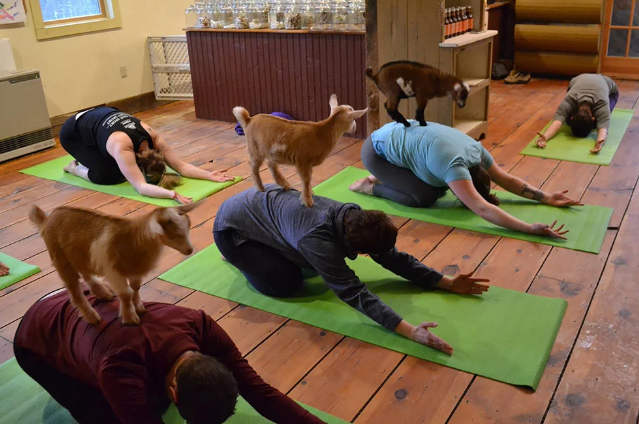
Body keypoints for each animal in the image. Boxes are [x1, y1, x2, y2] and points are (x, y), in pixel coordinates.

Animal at [28, 202, 200, 324]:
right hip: (60, 259)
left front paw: (138, 307)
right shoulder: (113, 271)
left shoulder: (135, 270)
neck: (134, 238)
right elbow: (126, 293)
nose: (190, 250)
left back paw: (102, 292)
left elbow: (135, 288)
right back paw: (92, 317)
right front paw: (130, 318)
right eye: (170, 235)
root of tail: (47, 219)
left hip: (79, 254)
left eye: (188, 227)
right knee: (75, 291)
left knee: (85, 272)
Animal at [234, 96, 364, 209]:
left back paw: (285, 185)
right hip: (255, 149)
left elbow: (309, 179)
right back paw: (261, 188)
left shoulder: (307, 164)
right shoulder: (303, 161)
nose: (355, 127)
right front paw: (307, 201)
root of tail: (249, 119)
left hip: (271, 152)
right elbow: (306, 180)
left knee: (271, 165)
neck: (321, 132)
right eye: (353, 119)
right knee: (254, 168)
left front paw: (310, 193)